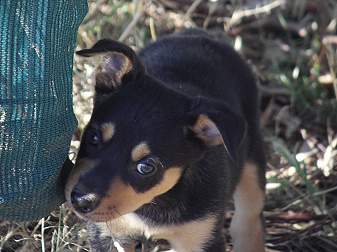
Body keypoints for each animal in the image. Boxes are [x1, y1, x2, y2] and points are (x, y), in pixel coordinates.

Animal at [65, 30, 266, 252]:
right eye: (93, 137)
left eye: (146, 167)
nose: (80, 200)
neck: (153, 203)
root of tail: (200, 35)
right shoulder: (109, 234)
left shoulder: (201, 237)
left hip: (253, 155)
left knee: (250, 211)